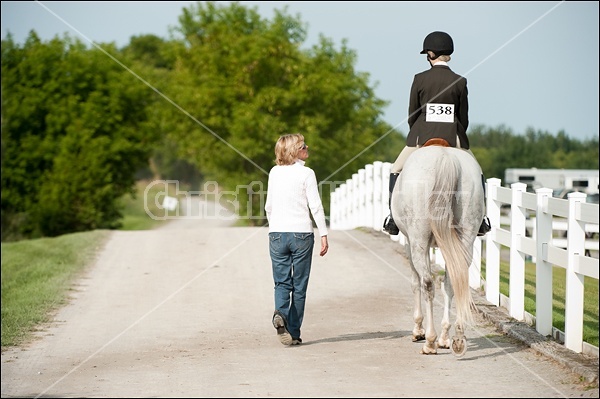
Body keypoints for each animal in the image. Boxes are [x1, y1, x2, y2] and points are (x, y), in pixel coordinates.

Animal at [394, 145, 482, 360]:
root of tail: (445, 156)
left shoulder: (410, 242)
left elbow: (415, 282)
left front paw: (418, 330)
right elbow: (448, 285)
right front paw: (446, 337)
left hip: (418, 239)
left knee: (427, 283)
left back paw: (430, 341)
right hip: (466, 237)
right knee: (455, 281)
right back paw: (455, 338)